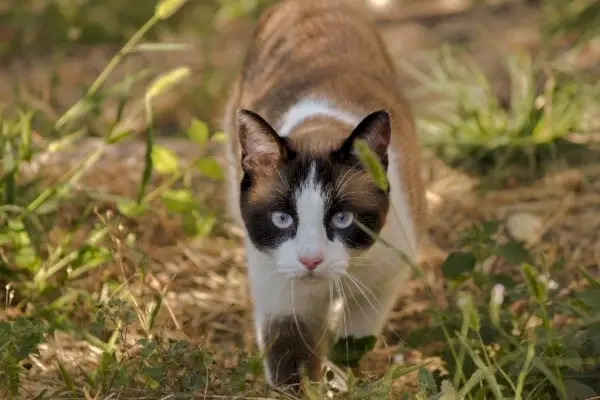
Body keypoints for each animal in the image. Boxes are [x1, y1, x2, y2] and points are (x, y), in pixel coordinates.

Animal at [221, 0, 426, 390]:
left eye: (342, 219)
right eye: (282, 218)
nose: (311, 260)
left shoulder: (383, 282)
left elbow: (349, 347)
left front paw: (341, 387)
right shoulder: (281, 299)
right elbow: (290, 367)